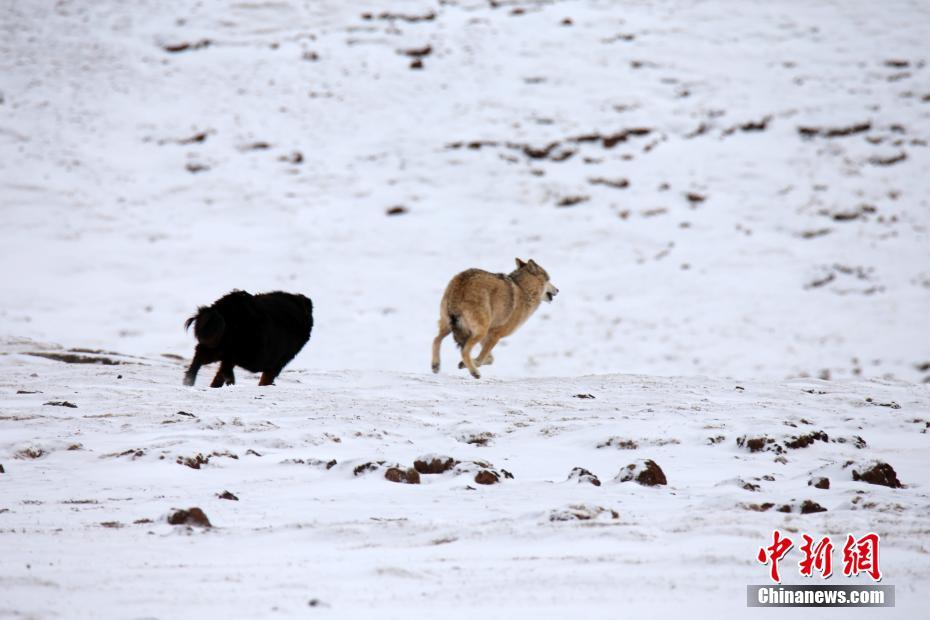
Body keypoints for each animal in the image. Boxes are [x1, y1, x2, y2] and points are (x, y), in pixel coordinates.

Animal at [430, 258, 560, 378]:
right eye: (548, 279)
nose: (558, 290)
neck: (524, 290)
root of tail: (461, 283)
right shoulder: (495, 335)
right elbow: (482, 358)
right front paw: (471, 364)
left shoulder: (488, 335)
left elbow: (490, 359)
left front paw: (464, 364)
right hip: (478, 331)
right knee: (464, 350)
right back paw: (474, 372)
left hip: (449, 326)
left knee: (436, 339)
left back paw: (436, 366)